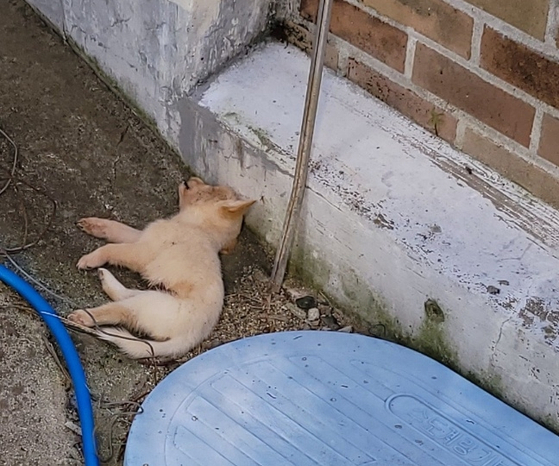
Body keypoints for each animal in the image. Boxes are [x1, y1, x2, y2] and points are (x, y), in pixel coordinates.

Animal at [67, 177, 256, 358]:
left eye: (211, 189)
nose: (191, 178)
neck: (198, 226)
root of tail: (191, 337)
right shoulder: (142, 238)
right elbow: (117, 229)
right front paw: (94, 225)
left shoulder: (142, 252)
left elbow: (111, 248)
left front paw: (91, 258)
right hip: (154, 295)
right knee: (125, 294)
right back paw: (105, 279)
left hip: (150, 303)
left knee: (119, 310)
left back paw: (84, 316)